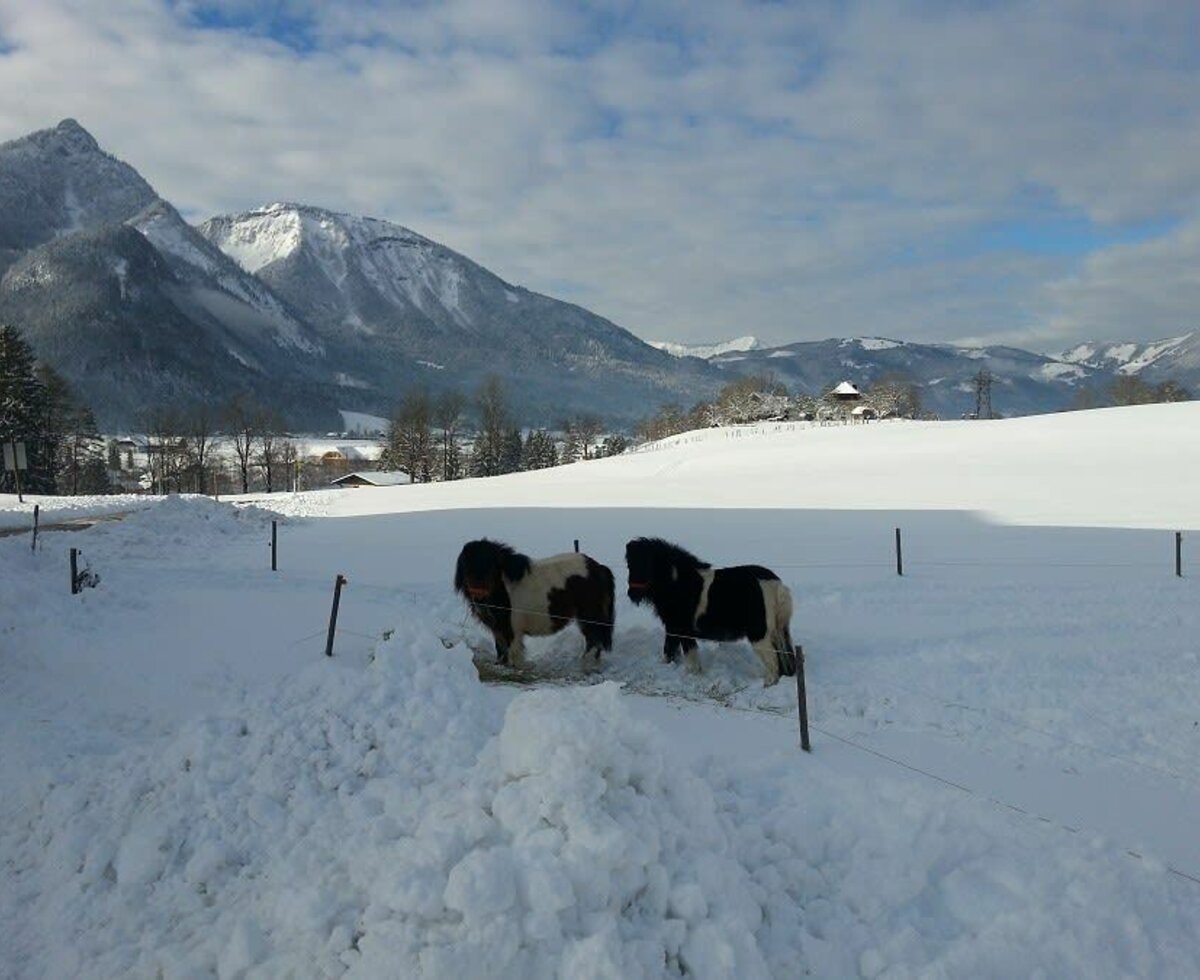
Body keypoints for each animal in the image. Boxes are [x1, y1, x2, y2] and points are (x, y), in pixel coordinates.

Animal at [453, 539, 614, 666]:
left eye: (491, 564)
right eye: (466, 564)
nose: (477, 593)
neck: (504, 587)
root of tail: (598, 568)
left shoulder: (512, 630)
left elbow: (512, 654)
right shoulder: (498, 627)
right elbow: (500, 650)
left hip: (589, 616)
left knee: (593, 640)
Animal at [624, 539, 801, 686]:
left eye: (644, 564)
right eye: (630, 565)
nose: (632, 594)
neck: (678, 583)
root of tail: (776, 586)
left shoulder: (682, 629)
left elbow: (687, 654)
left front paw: (693, 674)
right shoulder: (673, 629)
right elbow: (670, 651)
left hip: (760, 635)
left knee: (773, 663)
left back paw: (767, 685)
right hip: (777, 632)